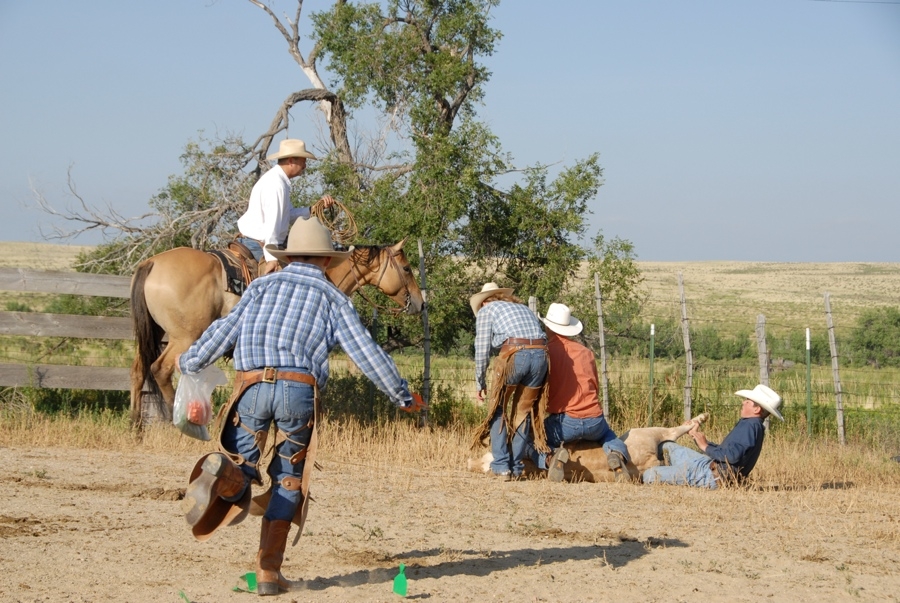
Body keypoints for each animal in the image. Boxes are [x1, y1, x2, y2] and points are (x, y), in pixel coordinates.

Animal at [128, 241, 424, 424]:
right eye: (407, 268)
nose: (421, 303)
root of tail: (151, 263)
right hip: (183, 337)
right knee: (161, 369)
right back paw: (173, 419)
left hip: (154, 335)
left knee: (139, 371)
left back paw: (135, 423)